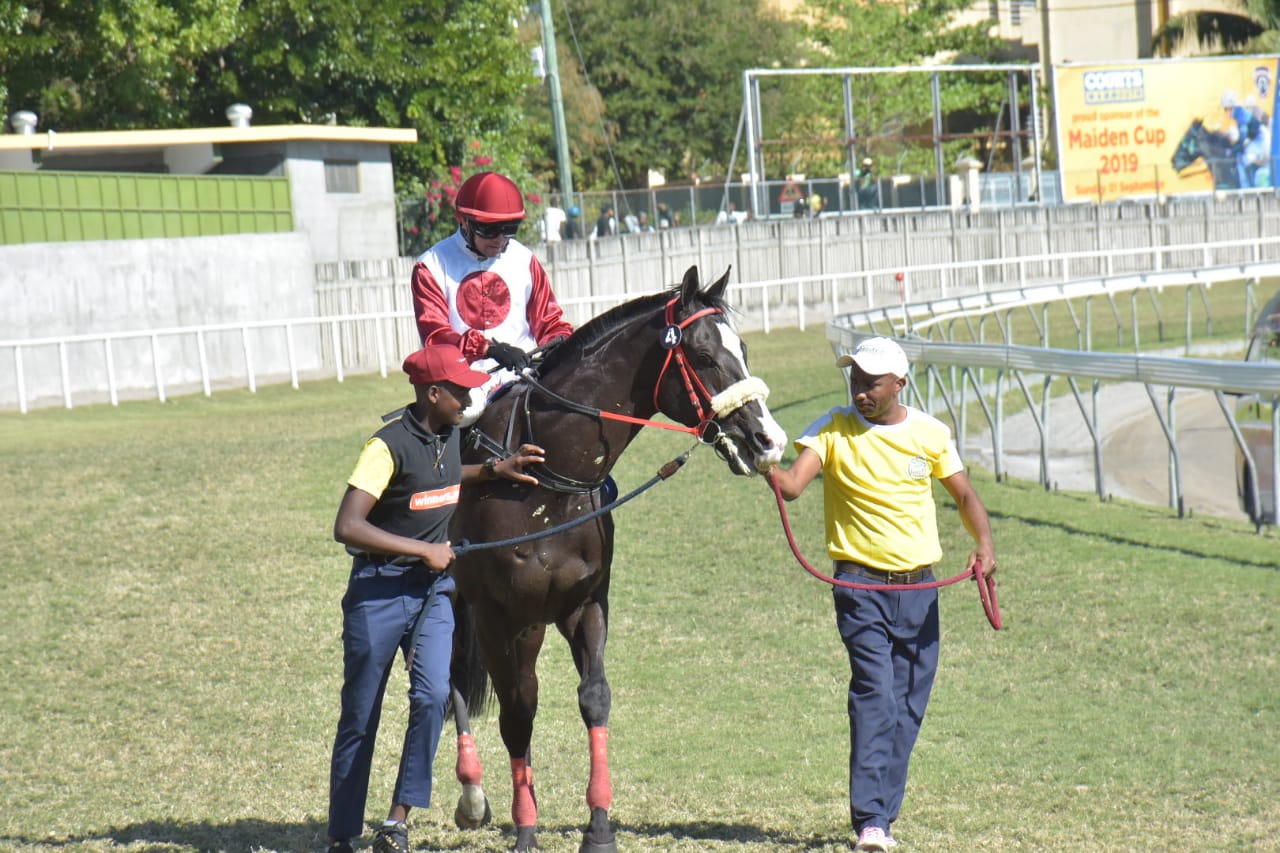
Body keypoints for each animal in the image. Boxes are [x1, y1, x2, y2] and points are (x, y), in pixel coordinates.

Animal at [443, 266, 786, 852]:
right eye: (703, 356)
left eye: (741, 349)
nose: (769, 439)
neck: (542, 482)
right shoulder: (494, 615)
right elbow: (514, 715)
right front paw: (525, 828)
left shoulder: (583, 606)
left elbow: (593, 699)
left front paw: (599, 825)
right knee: (450, 681)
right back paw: (471, 795)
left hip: (530, 626)